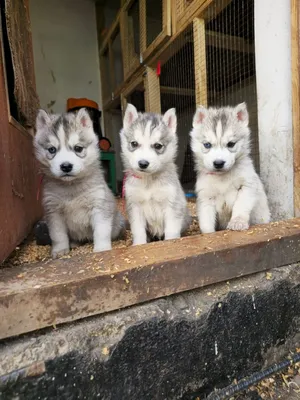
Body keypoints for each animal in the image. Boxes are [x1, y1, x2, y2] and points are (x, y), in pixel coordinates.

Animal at [33, 108, 124, 258]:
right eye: (52, 149)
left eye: (78, 148)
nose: (66, 166)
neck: (71, 187)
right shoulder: (53, 211)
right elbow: (58, 235)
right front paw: (60, 250)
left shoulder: (99, 205)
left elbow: (101, 231)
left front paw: (102, 248)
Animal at [119, 103, 190, 245]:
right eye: (134, 143)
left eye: (158, 146)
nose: (143, 163)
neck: (148, 181)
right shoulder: (135, 206)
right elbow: (138, 231)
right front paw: (139, 244)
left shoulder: (172, 204)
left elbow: (171, 231)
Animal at [191, 102, 270, 234]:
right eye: (207, 145)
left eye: (231, 144)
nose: (218, 163)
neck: (222, 177)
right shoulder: (206, 197)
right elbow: (206, 221)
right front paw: (208, 233)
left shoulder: (247, 186)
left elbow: (241, 206)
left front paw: (237, 222)